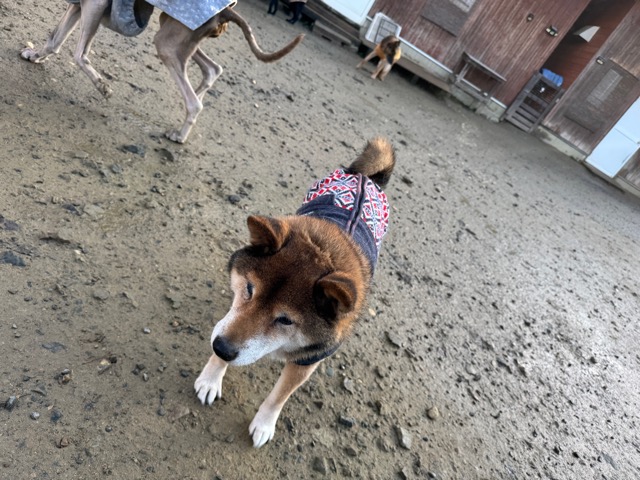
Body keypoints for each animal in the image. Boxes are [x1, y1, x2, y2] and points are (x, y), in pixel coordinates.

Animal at [20, 1, 304, 143]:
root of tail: (226, 11)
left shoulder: (95, 4)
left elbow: (79, 53)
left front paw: (104, 87)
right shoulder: (79, 5)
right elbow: (54, 40)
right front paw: (34, 55)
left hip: (168, 43)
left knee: (195, 102)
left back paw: (179, 135)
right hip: (177, 36)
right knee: (213, 69)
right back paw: (197, 97)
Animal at [194, 137, 396, 447]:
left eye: (286, 320)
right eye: (249, 289)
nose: (222, 348)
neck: (325, 247)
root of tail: (366, 178)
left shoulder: (308, 359)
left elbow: (279, 397)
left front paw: (264, 424)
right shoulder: (231, 319)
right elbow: (227, 325)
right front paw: (210, 379)